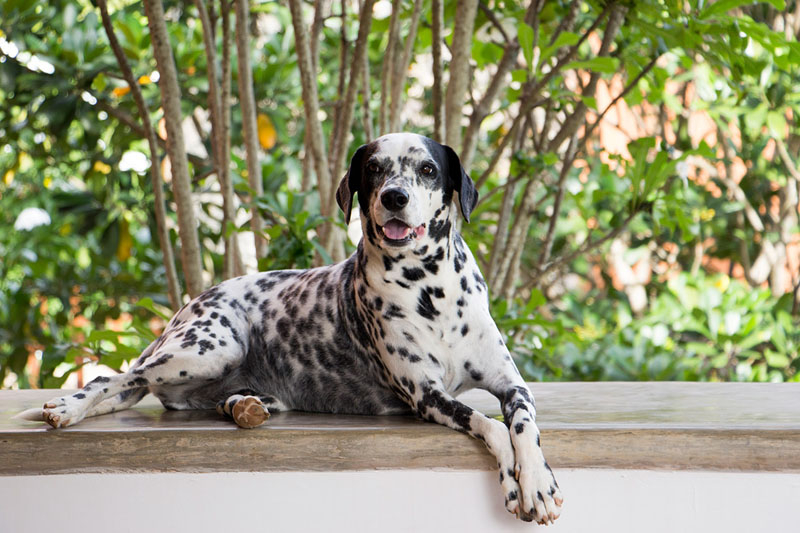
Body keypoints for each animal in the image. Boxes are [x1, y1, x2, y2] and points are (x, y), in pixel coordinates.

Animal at [21, 132, 564, 524]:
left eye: (428, 169)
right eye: (374, 168)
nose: (394, 197)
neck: (432, 291)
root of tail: (191, 305)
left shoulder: (511, 384)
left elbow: (521, 423)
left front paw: (536, 481)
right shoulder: (427, 395)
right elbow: (489, 425)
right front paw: (518, 482)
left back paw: (245, 405)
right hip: (205, 348)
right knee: (114, 376)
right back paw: (65, 410)